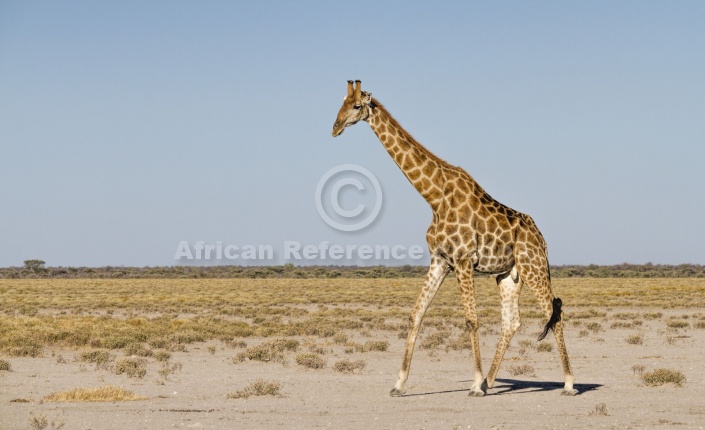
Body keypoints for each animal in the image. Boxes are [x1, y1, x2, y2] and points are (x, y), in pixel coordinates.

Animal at [332, 80, 576, 396]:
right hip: (508, 275)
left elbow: (471, 320)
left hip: (533, 267)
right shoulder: (440, 260)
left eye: (357, 105)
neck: (434, 197)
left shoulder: (462, 259)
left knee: (554, 315)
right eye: (340, 103)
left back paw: (568, 383)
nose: (335, 127)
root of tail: (542, 239)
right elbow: (416, 315)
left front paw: (474, 384)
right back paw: (491, 381)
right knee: (512, 322)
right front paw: (398, 384)